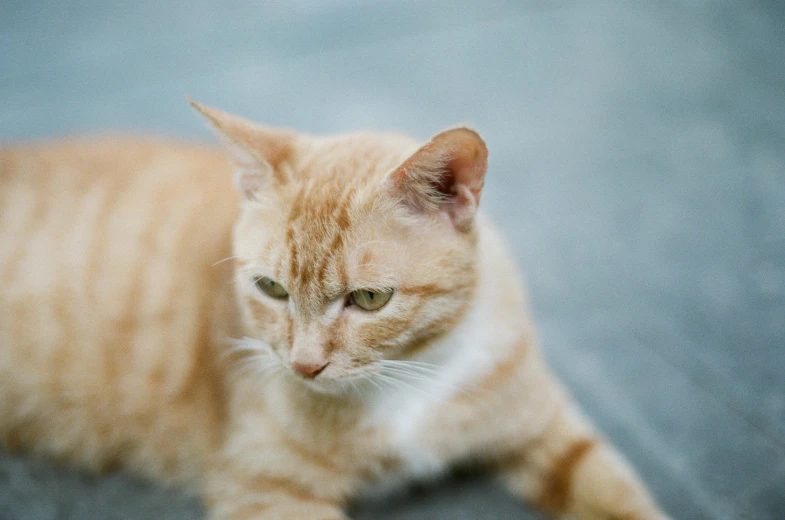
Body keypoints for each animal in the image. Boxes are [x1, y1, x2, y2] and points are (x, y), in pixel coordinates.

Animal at [0, 98, 668, 520]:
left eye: (370, 298)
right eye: (271, 289)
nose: (303, 367)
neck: (417, 377)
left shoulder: (546, 428)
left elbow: (618, 495)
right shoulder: (270, 487)